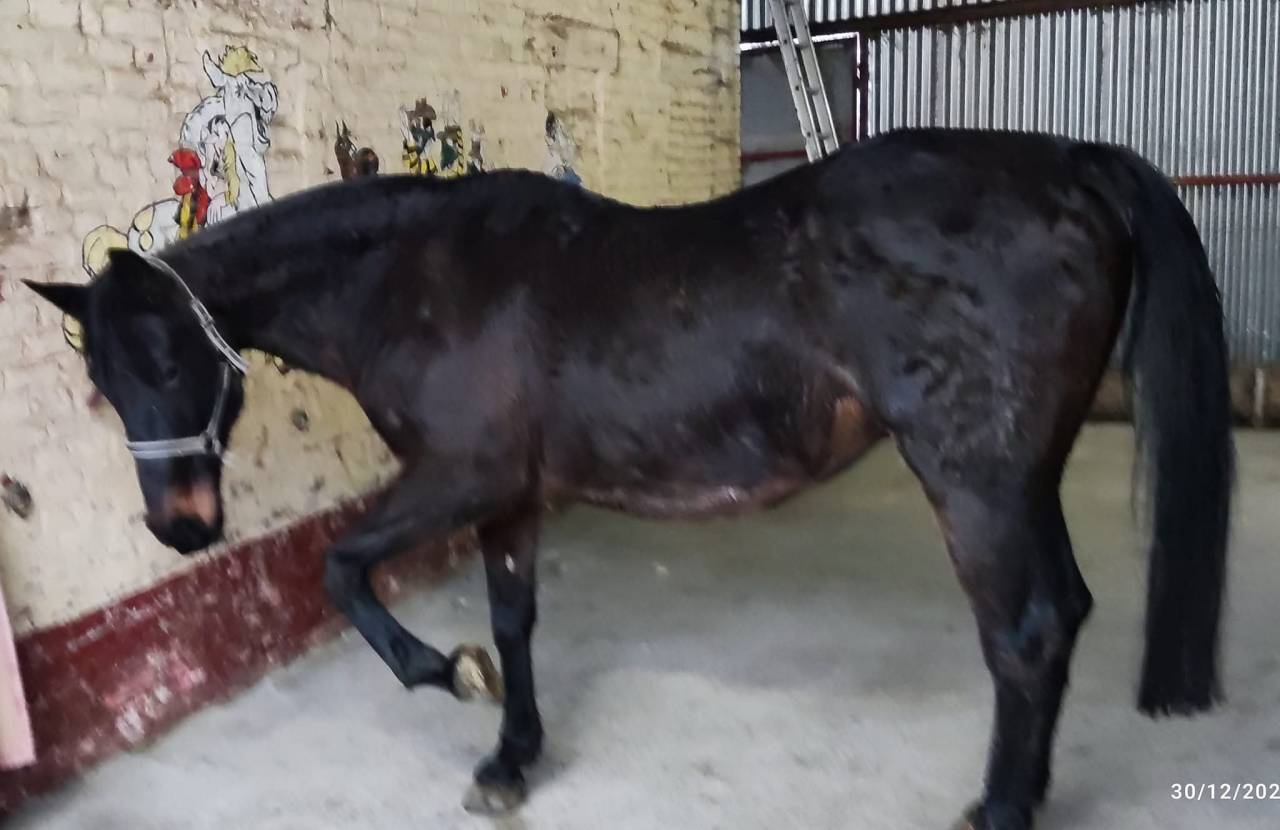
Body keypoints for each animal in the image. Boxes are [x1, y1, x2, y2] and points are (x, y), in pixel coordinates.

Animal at [26, 128, 1233, 830]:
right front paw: (510, 754)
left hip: (975, 479)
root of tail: (1075, 165)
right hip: (1027, 474)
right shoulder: (509, 493)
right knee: (1062, 612)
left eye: (171, 360)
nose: (180, 528)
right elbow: (513, 616)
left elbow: (342, 566)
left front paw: (442, 672)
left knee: (1022, 634)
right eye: (100, 379)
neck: (418, 279)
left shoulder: (459, 474)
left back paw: (998, 808)